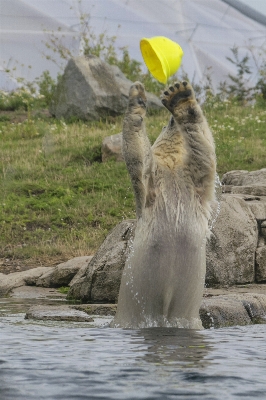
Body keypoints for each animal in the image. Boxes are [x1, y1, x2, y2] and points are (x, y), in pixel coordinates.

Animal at [110, 80, 216, 328]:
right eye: (167, 123)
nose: (172, 119)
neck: (173, 172)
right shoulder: (152, 187)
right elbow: (138, 156)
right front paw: (138, 98)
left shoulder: (195, 183)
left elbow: (205, 152)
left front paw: (180, 98)